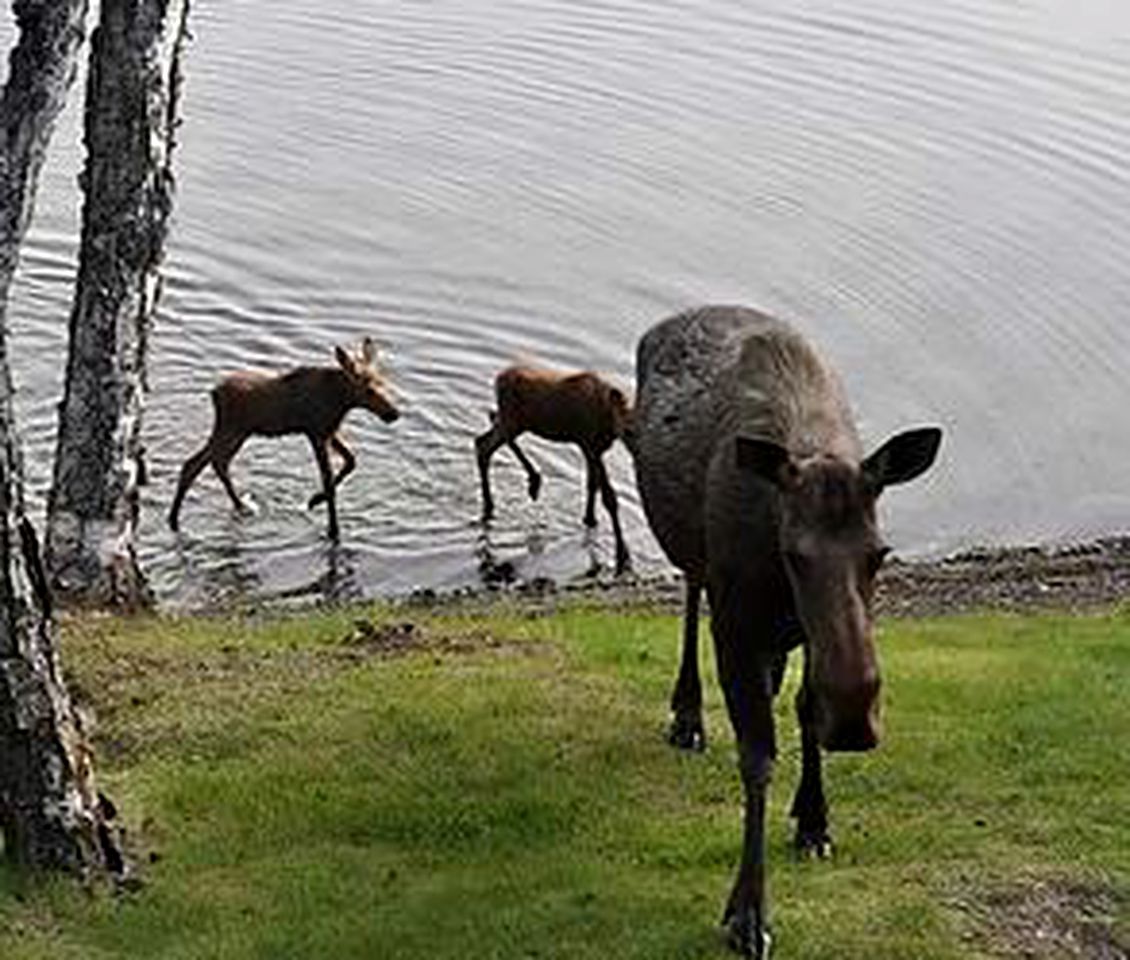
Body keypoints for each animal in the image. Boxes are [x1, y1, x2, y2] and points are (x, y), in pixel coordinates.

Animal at [164, 336, 400, 537]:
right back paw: (177, 517)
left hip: (237, 433)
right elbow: (329, 481)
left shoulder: (329, 431)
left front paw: (315, 500)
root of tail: (213, 392)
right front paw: (332, 528)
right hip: (231, 430)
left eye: (383, 381)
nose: (393, 413)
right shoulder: (315, 432)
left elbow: (351, 461)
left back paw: (236, 506)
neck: (340, 401)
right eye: (368, 390)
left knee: (212, 462)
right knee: (199, 463)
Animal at [632, 304, 940, 948]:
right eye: (793, 554)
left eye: (881, 553)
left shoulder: (805, 637)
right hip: (693, 558)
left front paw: (814, 820)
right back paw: (687, 715)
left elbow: (802, 708)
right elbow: (758, 757)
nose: (853, 721)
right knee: (691, 595)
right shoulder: (737, 624)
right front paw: (748, 911)